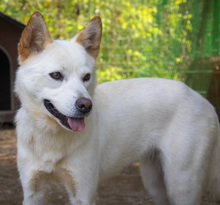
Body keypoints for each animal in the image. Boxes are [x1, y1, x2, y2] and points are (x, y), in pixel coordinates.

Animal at [15, 12, 220, 204]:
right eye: (56, 75)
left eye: (87, 77)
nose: (86, 106)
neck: (50, 136)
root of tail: (204, 101)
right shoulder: (33, 192)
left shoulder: (83, 194)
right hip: (154, 182)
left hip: (181, 185)